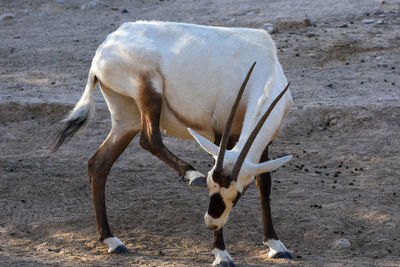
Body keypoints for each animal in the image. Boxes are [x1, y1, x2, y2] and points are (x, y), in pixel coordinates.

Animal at [50, 21, 294, 267]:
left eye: (237, 195)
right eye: (210, 186)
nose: (211, 223)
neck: (264, 67)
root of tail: (107, 44)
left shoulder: (263, 143)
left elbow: (264, 183)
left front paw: (276, 245)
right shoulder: (219, 133)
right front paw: (221, 254)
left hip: (126, 120)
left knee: (98, 164)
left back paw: (112, 240)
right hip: (149, 92)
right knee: (149, 139)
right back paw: (192, 175)